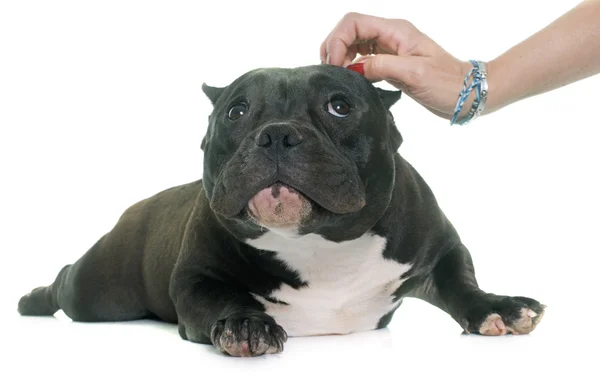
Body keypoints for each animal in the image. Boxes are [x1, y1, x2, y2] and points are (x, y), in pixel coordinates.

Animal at [17, 64, 544, 358]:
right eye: (236, 111)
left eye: (339, 106)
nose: (275, 133)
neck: (320, 243)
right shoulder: (196, 278)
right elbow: (222, 297)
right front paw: (246, 324)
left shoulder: (439, 250)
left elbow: (460, 282)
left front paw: (497, 307)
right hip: (98, 291)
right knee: (66, 282)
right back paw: (32, 301)